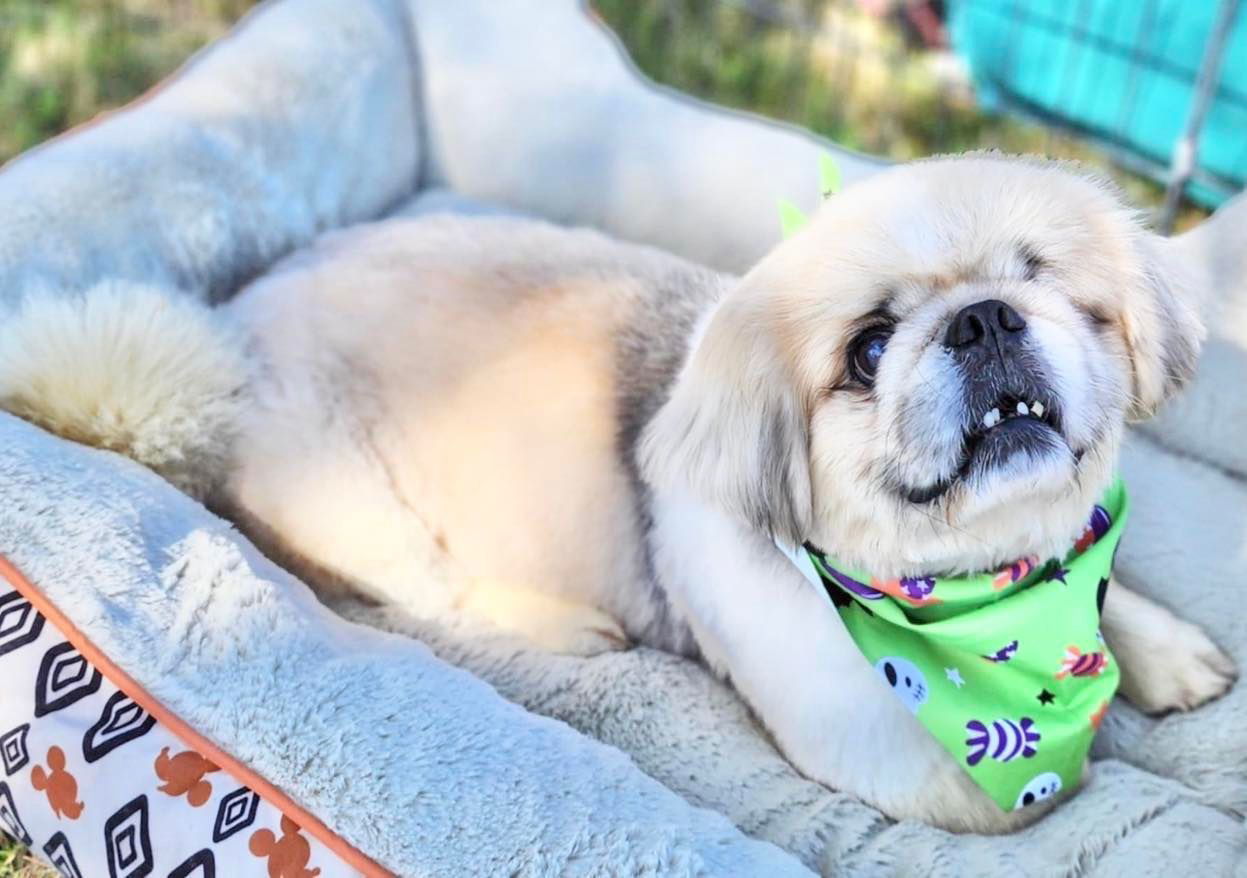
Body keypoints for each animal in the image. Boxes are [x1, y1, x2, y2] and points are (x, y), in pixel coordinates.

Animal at [2, 154, 1237, 833]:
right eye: (869, 350)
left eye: (1044, 284)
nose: (981, 318)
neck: (983, 591)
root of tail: (219, 342)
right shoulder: (894, 763)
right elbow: (1050, 775)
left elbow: (1107, 571)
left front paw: (1159, 647)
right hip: (356, 506)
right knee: (435, 601)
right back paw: (566, 629)